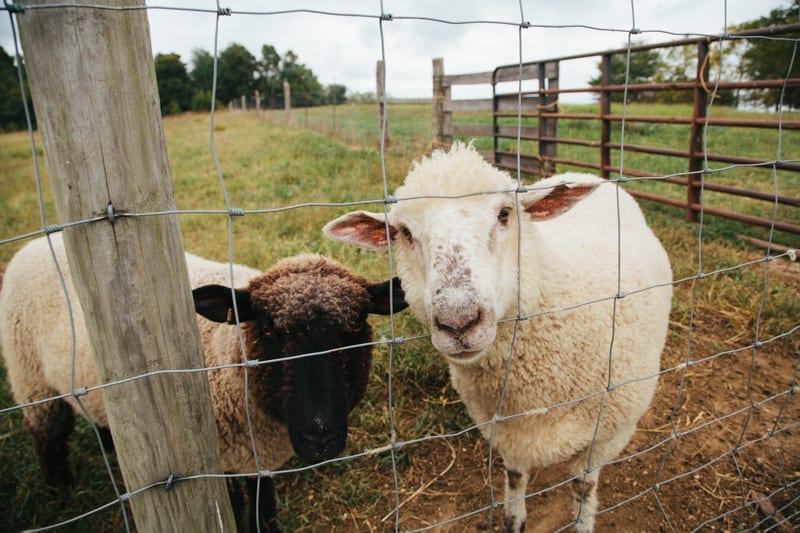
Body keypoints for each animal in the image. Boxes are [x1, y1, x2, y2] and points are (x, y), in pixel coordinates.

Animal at [0, 233, 410, 532]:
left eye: (355, 326)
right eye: (268, 330)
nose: (320, 435)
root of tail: (37, 243)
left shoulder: (254, 455)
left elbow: (262, 506)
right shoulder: (217, 459)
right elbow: (236, 504)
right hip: (31, 379)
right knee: (48, 435)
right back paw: (61, 494)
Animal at [322, 141, 672, 532]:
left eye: (505, 214)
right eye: (405, 232)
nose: (458, 322)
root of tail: (586, 174)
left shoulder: (609, 433)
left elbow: (583, 486)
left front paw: (582, 522)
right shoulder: (505, 431)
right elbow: (515, 476)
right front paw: (514, 520)